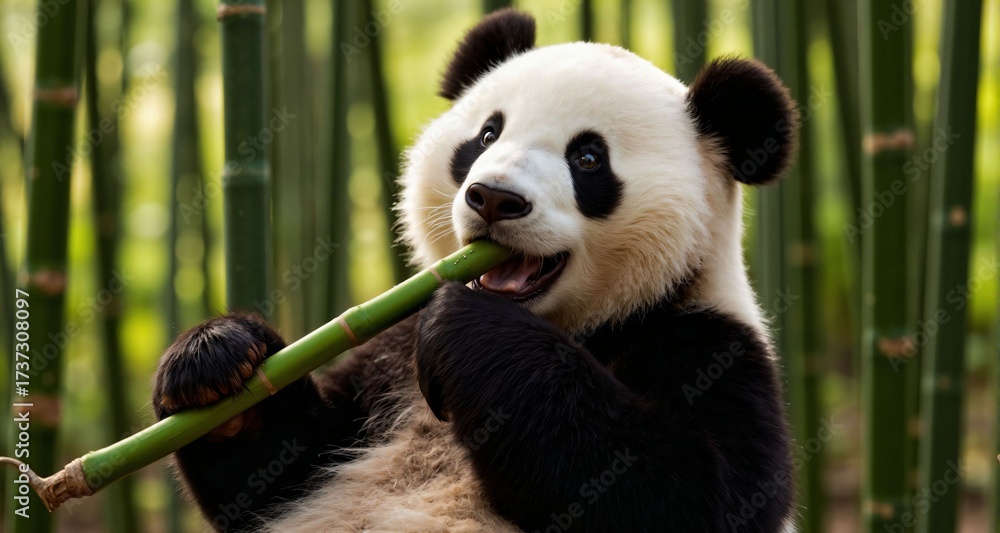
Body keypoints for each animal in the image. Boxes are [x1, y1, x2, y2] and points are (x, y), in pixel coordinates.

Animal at [152, 9, 799, 533]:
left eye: (588, 158)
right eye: (487, 134)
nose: (494, 198)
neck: (584, 324)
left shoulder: (710, 343)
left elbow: (685, 492)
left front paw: (471, 328)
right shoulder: (389, 359)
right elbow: (280, 473)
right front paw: (214, 358)